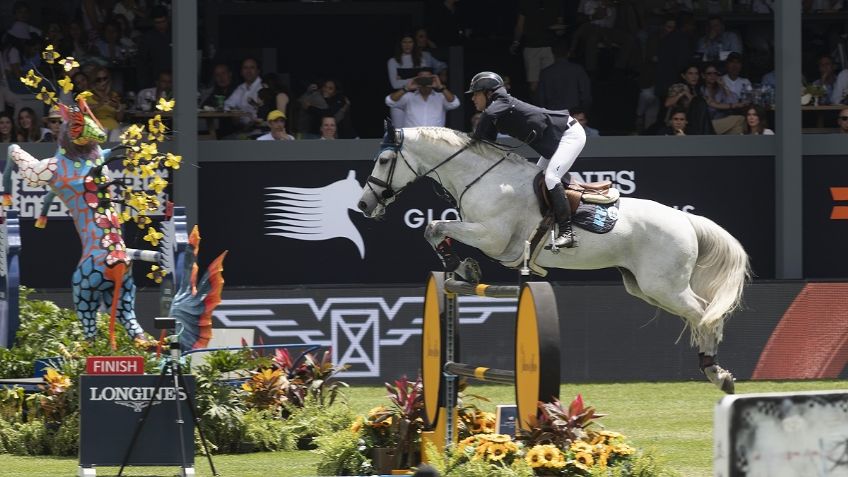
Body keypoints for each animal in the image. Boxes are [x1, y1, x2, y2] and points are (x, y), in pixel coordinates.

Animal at [358, 124, 748, 392]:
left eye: (384, 159)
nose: (363, 205)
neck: (481, 178)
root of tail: (685, 220)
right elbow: (436, 229)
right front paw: (464, 268)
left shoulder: (493, 238)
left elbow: (435, 227)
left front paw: (462, 266)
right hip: (645, 287)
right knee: (698, 314)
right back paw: (713, 368)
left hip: (664, 286)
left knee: (705, 312)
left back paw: (717, 372)